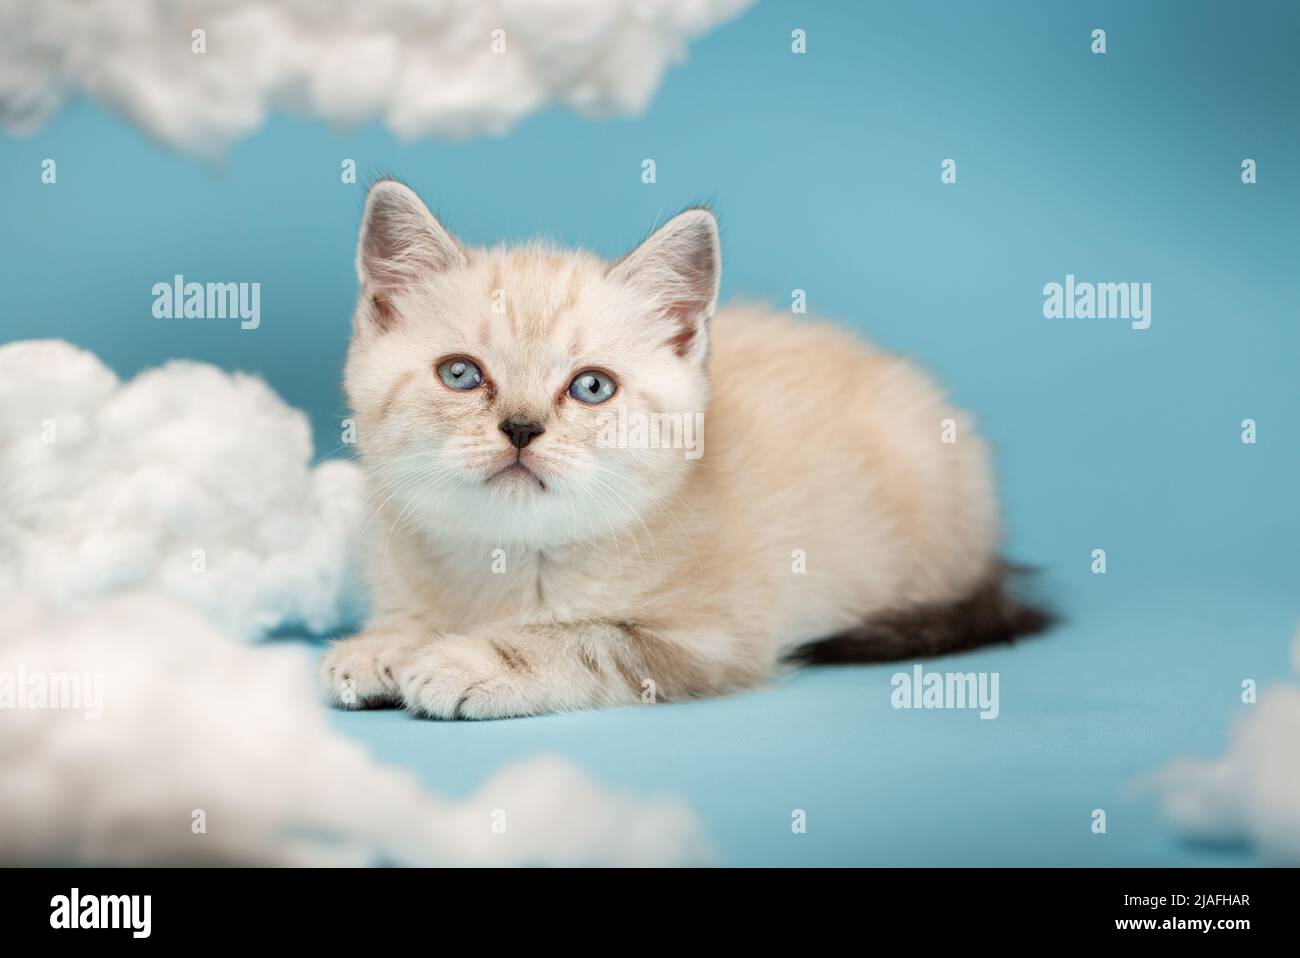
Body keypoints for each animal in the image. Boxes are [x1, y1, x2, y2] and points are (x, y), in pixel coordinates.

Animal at [319, 180, 1050, 717]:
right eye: (461, 375)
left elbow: (586, 640)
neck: (508, 562)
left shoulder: (710, 640)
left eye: (591, 387)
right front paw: (388, 642)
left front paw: (464, 658)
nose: (522, 429)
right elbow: (414, 614)